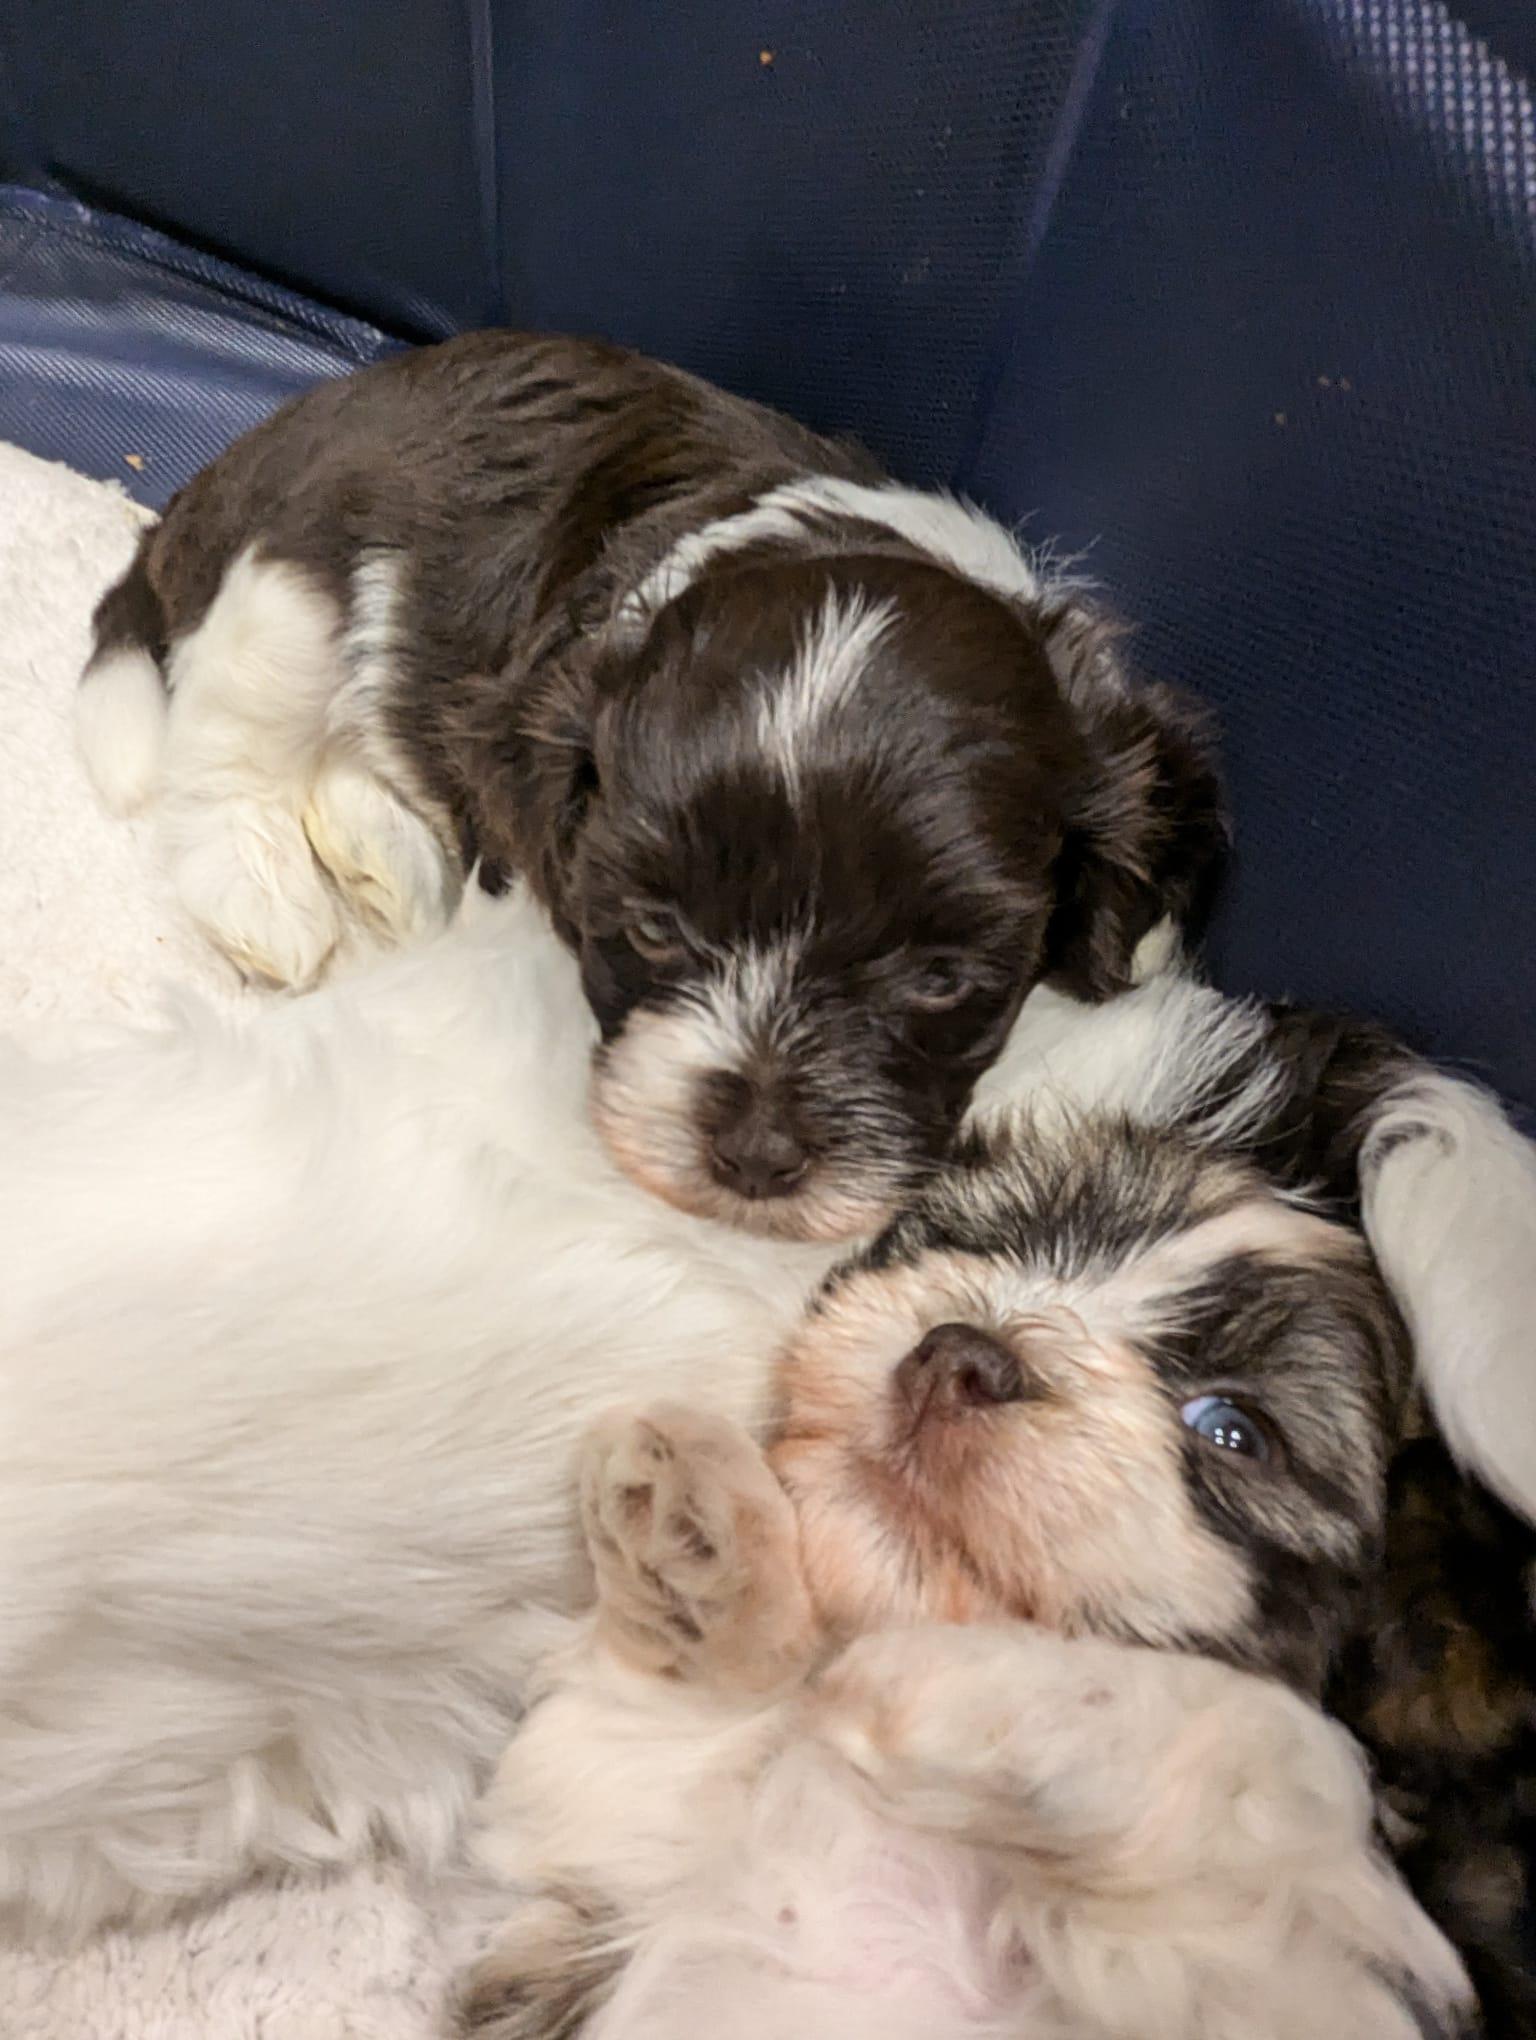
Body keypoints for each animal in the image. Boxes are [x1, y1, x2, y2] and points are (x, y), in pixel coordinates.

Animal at [73, 329, 1224, 1240]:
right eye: (655, 929)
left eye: (942, 980)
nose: (756, 1155)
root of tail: (222, 473)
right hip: (292, 592)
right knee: (219, 740)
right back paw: (265, 892)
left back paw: (384, 859)